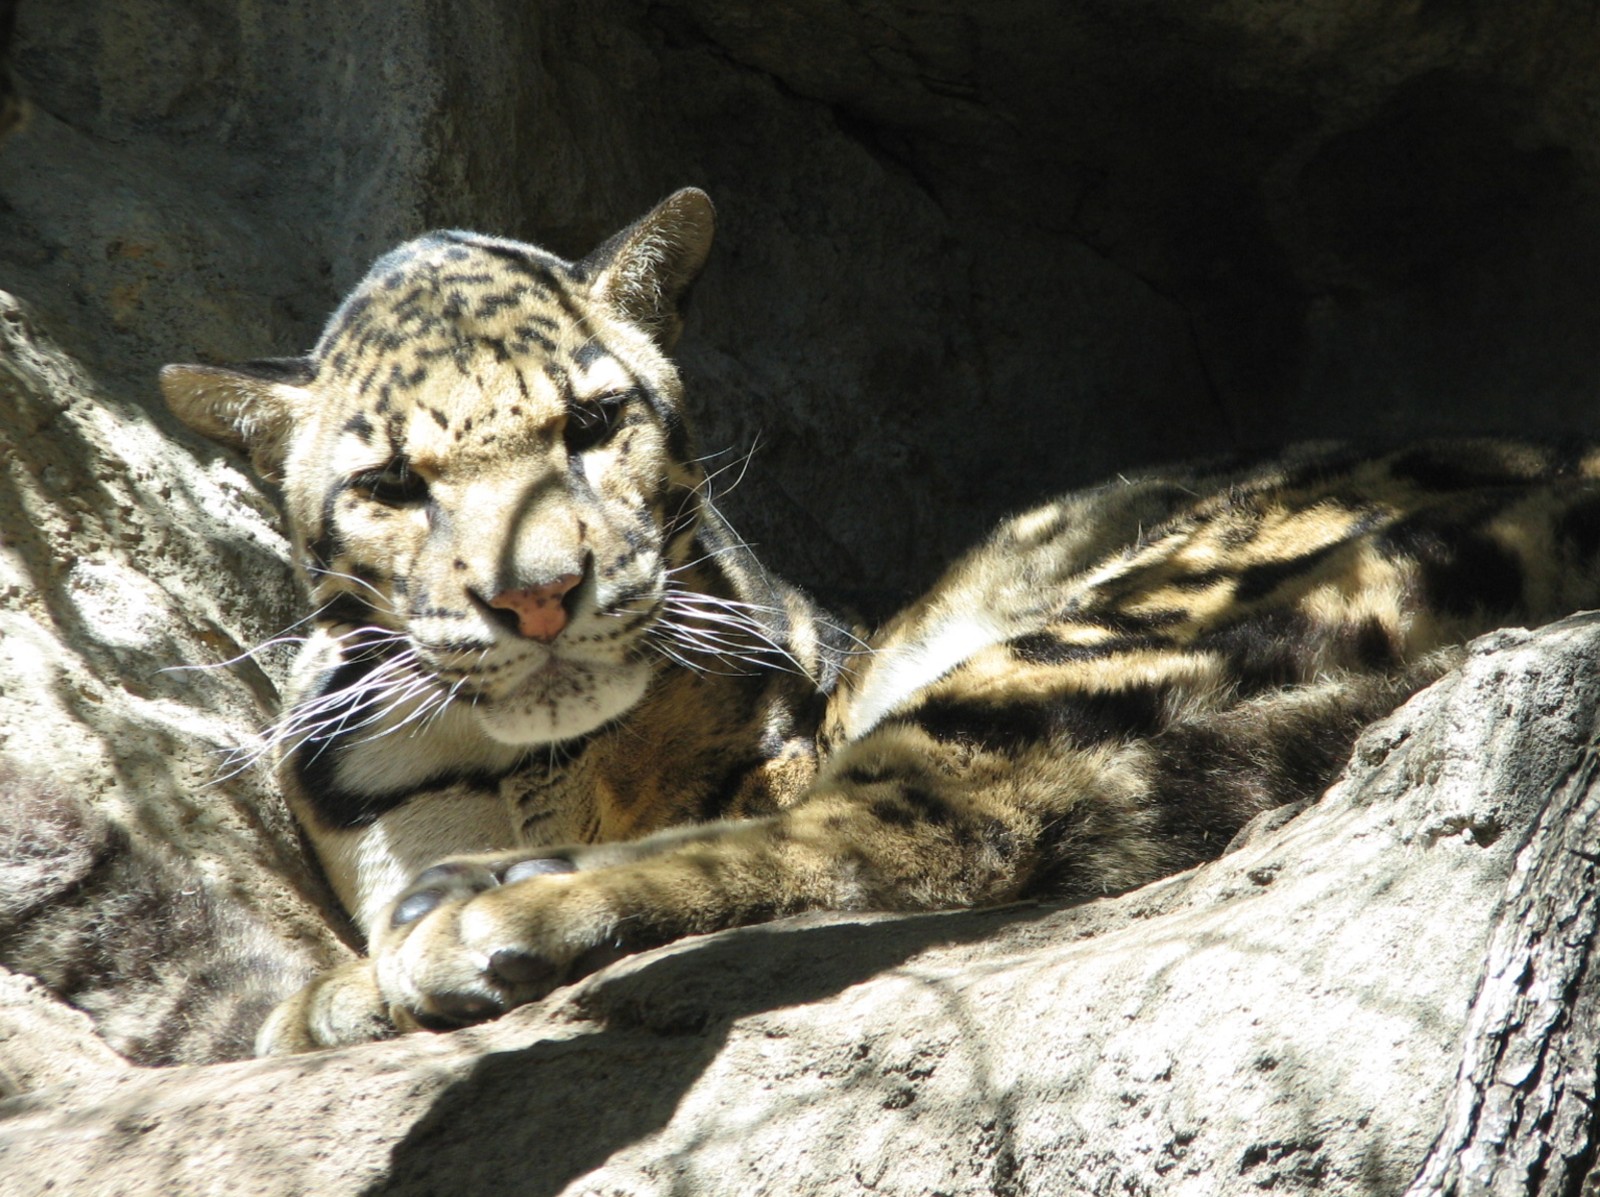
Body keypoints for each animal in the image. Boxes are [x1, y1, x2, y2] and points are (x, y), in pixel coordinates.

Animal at [161, 188, 1600, 1054]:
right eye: (392, 485)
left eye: (593, 422)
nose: (538, 595)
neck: (524, 770)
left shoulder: (781, 752)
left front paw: (360, 977)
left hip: (1125, 611)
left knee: (914, 832)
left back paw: (471, 929)